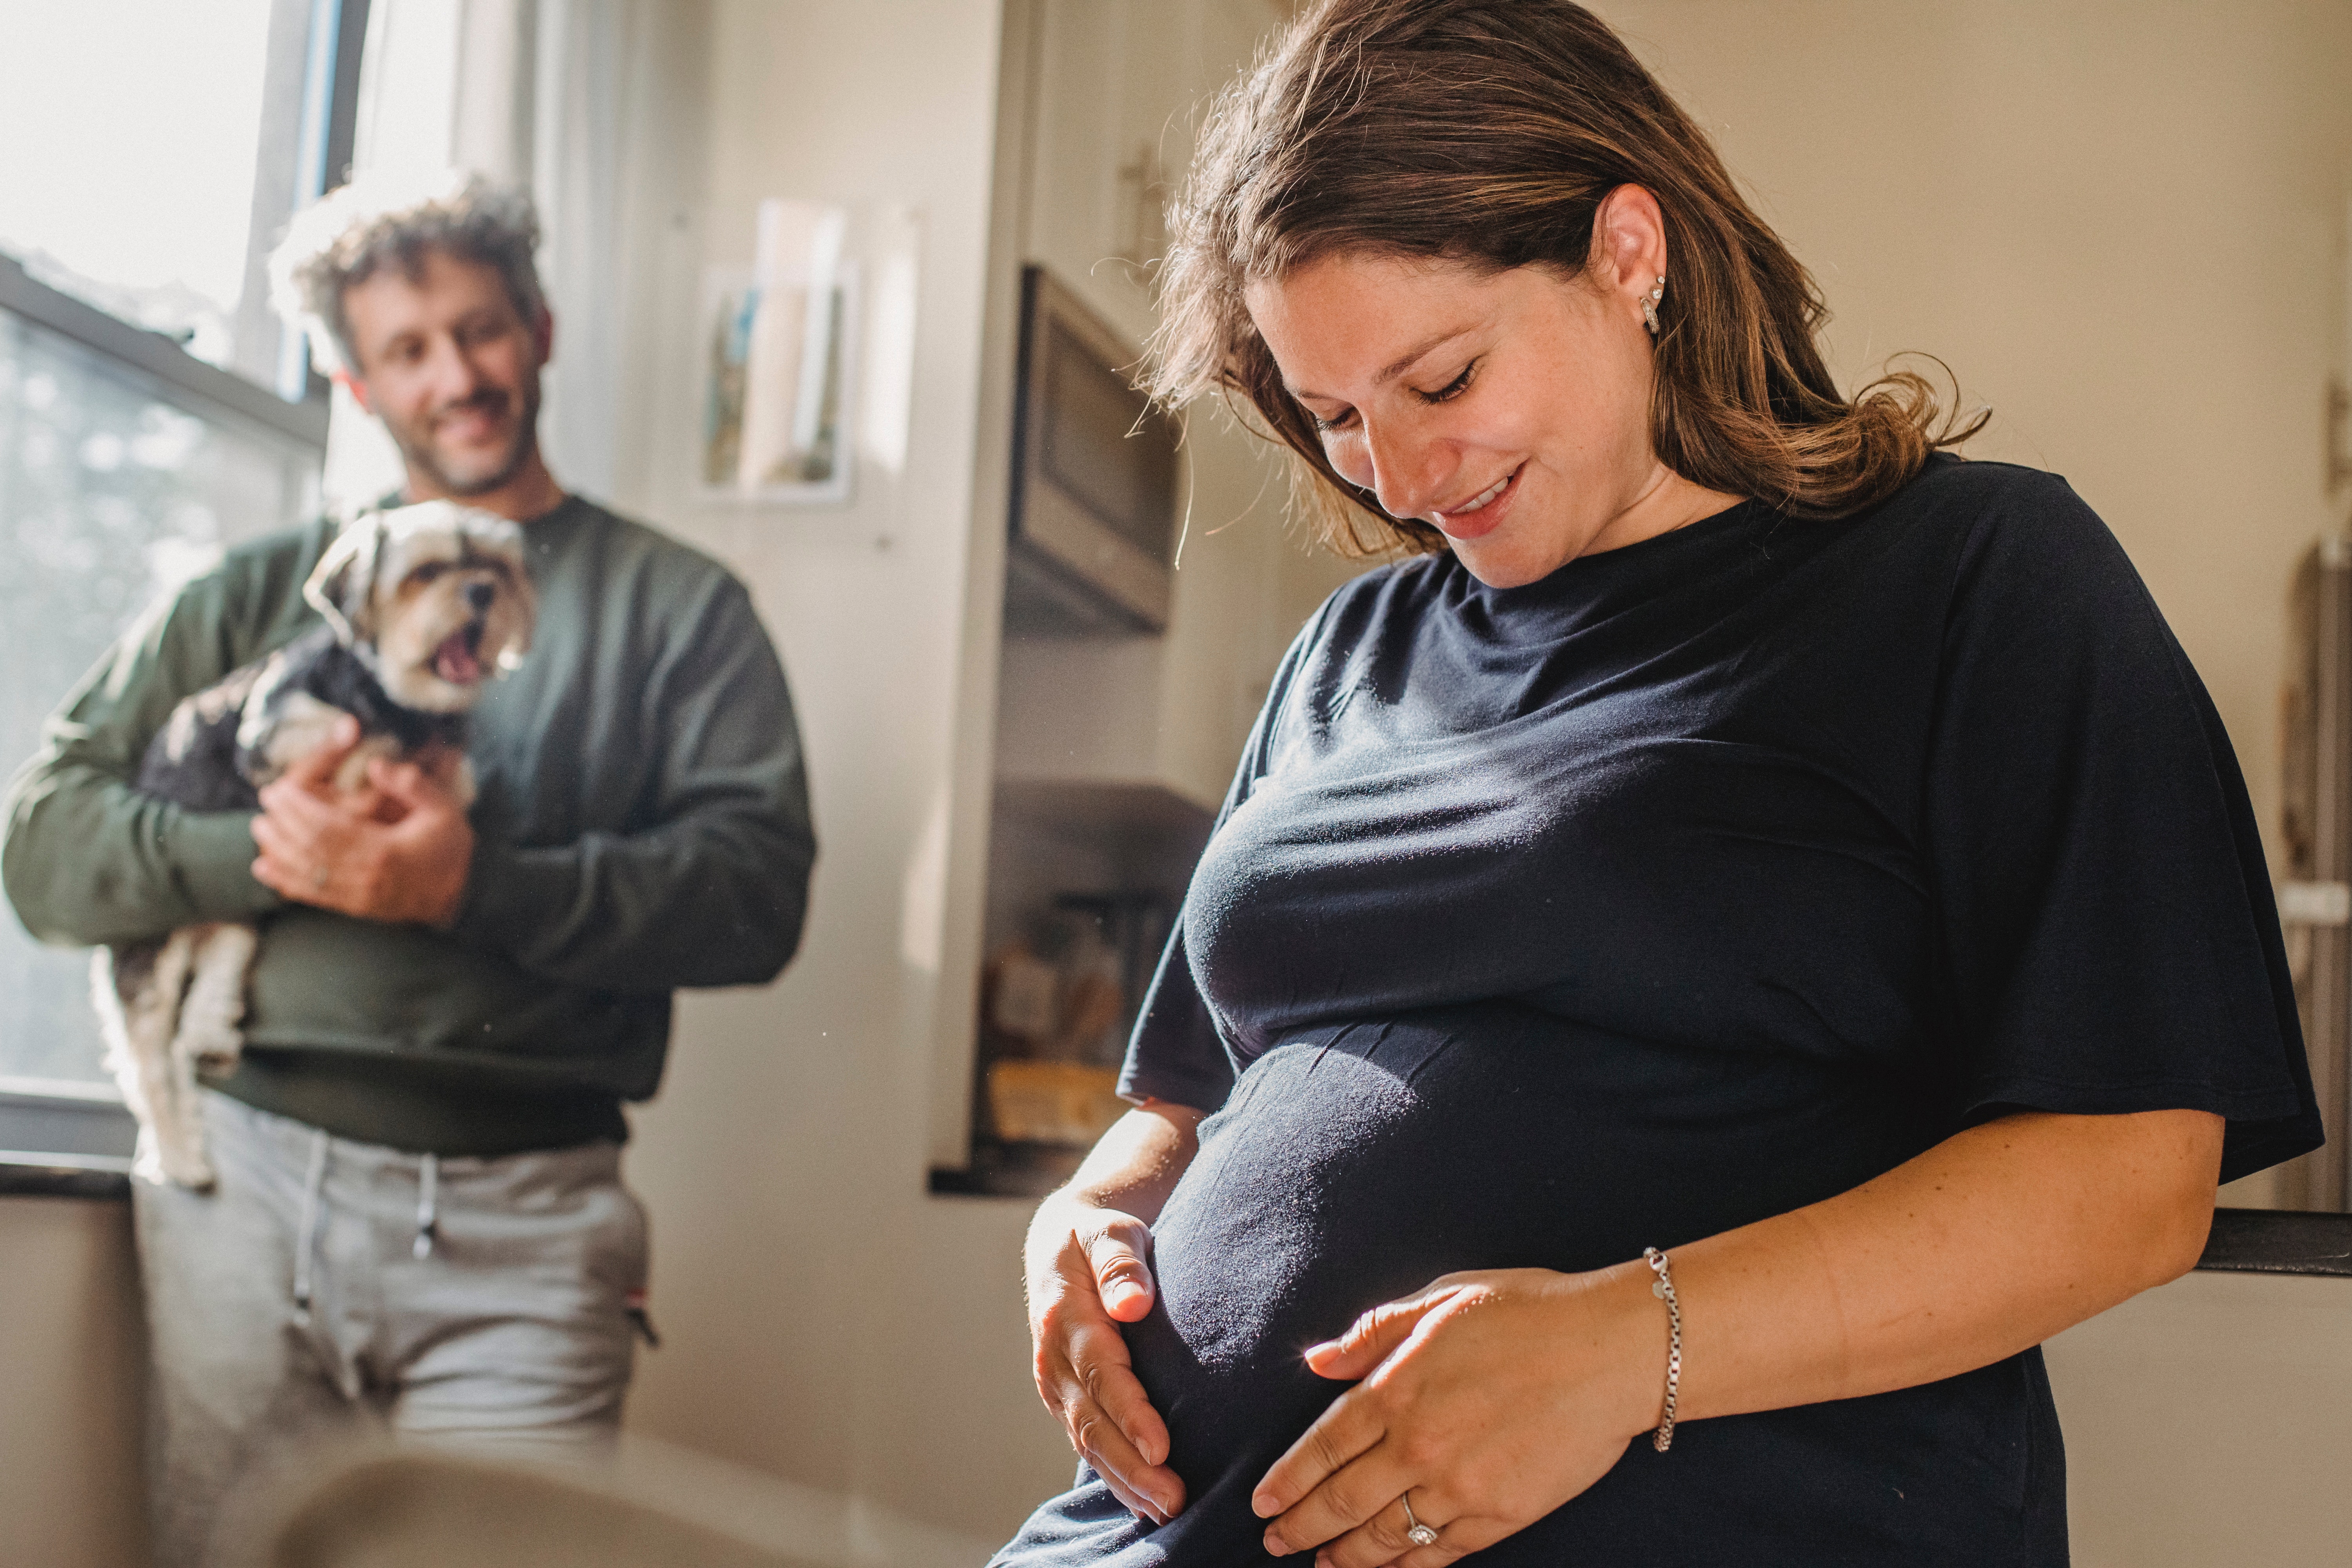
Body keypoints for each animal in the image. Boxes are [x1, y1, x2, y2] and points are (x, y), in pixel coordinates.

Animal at [96, 503, 539, 1189]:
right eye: (427, 572)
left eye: (497, 565)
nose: (483, 592)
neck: (389, 697)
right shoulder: (277, 738)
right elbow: (345, 748)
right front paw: (373, 765)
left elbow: (450, 781)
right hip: (152, 939)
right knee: (148, 1061)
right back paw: (179, 1158)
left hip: (229, 916)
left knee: (223, 956)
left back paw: (210, 1035)